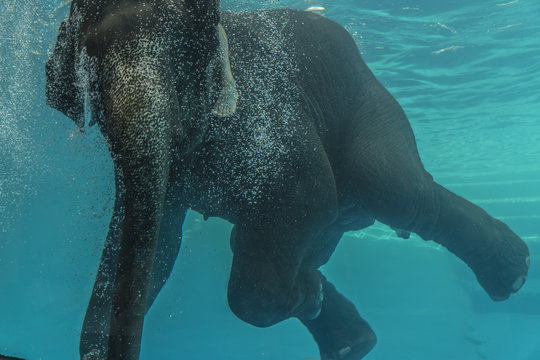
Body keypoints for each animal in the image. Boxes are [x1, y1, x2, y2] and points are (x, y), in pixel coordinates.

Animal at [44, 0, 528, 360]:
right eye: (89, 54)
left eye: (186, 46)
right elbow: (159, 240)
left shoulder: (265, 111)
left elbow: (307, 193)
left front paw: (308, 296)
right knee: (264, 236)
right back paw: (352, 341)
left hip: (370, 101)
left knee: (395, 190)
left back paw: (513, 274)